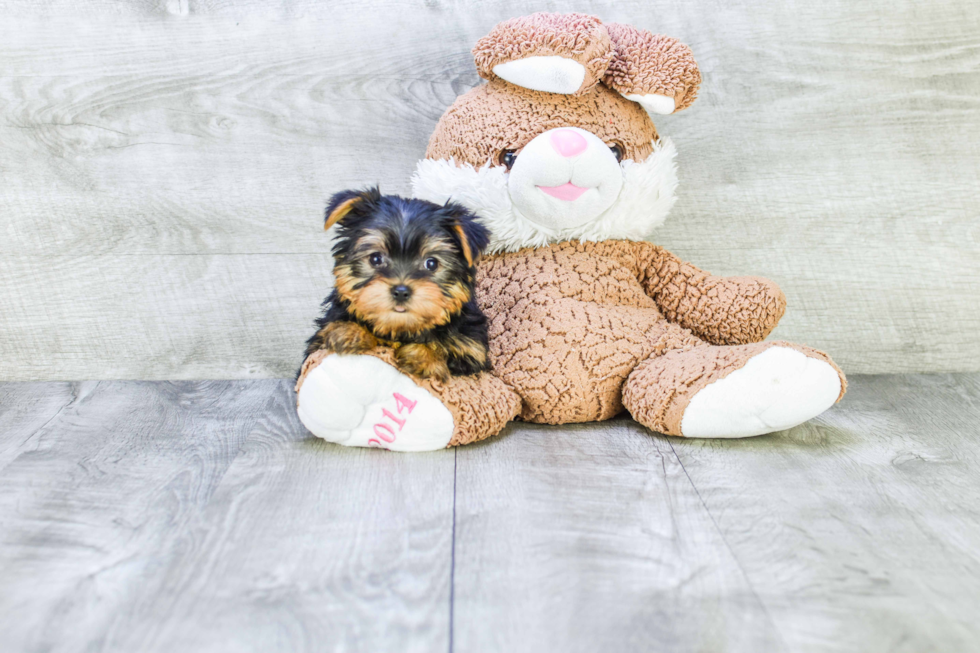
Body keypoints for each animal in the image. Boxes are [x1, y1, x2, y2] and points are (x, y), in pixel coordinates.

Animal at [304, 187, 490, 382]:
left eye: (431, 263)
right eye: (376, 258)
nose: (401, 291)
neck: (400, 328)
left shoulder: (471, 351)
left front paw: (423, 357)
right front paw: (349, 330)